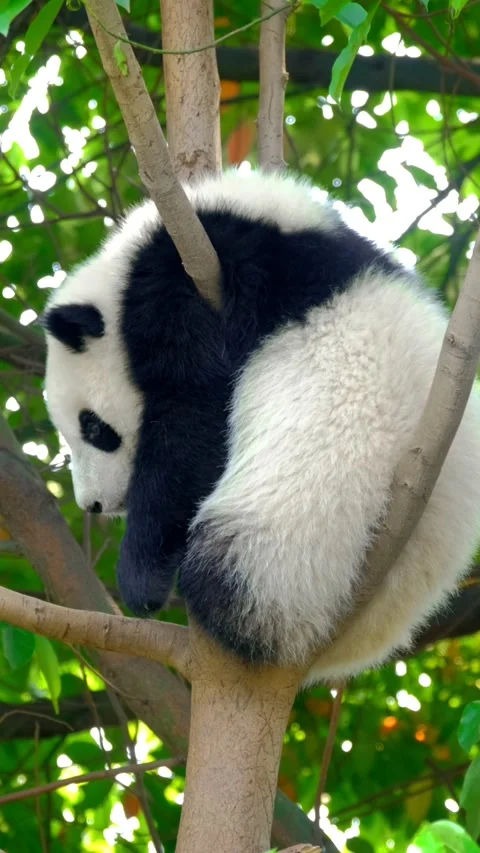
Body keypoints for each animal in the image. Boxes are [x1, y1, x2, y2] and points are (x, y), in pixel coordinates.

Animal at [43, 168, 480, 683]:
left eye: (94, 429)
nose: (92, 504)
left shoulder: (199, 271)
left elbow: (192, 412)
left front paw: (141, 577)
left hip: (313, 503)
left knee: (241, 559)